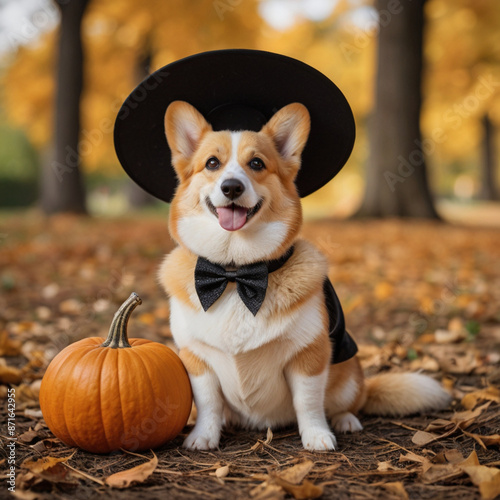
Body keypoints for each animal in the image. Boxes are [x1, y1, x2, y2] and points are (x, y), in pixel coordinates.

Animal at [157, 99, 454, 452]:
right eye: (212, 163)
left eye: (256, 163)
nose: (231, 187)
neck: (235, 274)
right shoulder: (196, 360)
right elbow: (208, 403)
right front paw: (203, 436)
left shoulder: (308, 356)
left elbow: (308, 402)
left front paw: (316, 436)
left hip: (348, 375)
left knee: (347, 402)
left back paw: (345, 420)